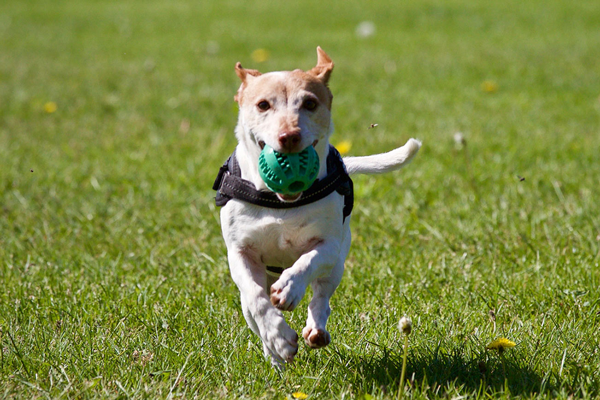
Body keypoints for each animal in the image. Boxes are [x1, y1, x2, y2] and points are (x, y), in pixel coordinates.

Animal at [213, 47, 420, 368]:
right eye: (263, 105)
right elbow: (257, 300)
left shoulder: (330, 245)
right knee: (253, 310)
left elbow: (307, 262)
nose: (289, 136)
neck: (280, 203)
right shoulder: (240, 253)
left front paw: (289, 288)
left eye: (310, 103)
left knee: (322, 295)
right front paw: (279, 338)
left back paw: (315, 328)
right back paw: (275, 356)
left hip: (338, 265)